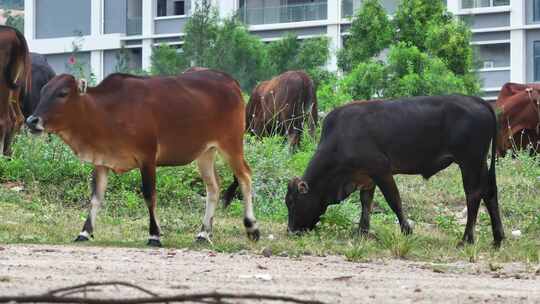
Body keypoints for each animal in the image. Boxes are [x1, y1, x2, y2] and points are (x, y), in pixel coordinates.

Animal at [26, 70, 260, 246]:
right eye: (43, 90)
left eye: (63, 93)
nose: (31, 120)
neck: (105, 111)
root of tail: (229, 80)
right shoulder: (101, 162)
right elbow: (95, 198)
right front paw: (84, 232)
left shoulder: (147, 157)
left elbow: (149, 196)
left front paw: (154, 235)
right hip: (205, 152)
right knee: (213, 187)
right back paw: (203, 233)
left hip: (232, 144)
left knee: (245, 177)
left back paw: (252, 227)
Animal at [284, 95, 504, 247]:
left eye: (292, 202)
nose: (291, 231)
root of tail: (477, 100)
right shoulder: (367, 177)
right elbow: (366, 204)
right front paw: (362, 231)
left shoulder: (381, 170)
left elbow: (394, 201)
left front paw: (407, 230)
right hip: (480, 164)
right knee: (490, 193)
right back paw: (497, 239)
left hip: (470, 162)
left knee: (473, 195)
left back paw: (466, 239)